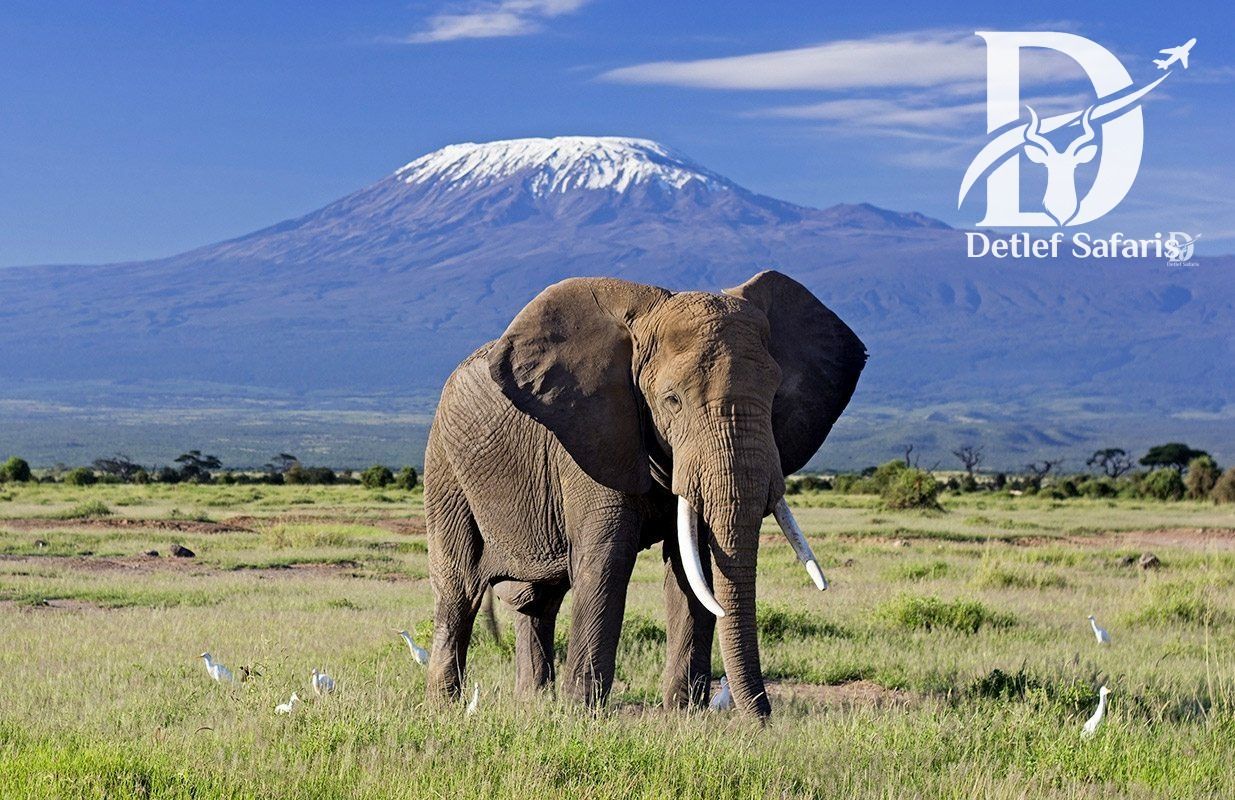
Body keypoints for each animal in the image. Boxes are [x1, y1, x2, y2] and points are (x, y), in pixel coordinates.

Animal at [423, 270, 866, 717]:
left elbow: (692, 567)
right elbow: (608, 560)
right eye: (672, 401)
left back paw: (534, 704)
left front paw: (684, 716)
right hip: (444, 465)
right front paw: (583, 715)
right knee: (459, 588)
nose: (763, 722)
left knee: (539, 601)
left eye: (775, 396)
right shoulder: (591, 437)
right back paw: (446, 708)